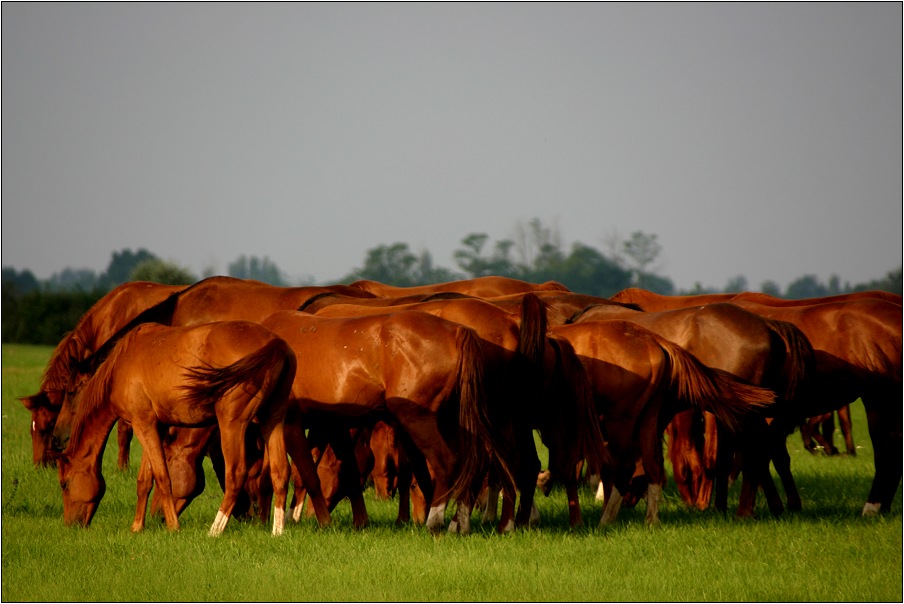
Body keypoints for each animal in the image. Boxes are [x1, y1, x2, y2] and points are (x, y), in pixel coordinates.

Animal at [20, 282, 185, 468]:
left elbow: (123, 431)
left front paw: (123, 468)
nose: (40, 467)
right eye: (31, 430)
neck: (109, 318)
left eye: (44, 429)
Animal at [50, 324, 300, 536]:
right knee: (280, 471)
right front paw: (137, 526)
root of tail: (275, 342)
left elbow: (162, 477)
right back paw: (277, 531)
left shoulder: (143, 425)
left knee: (236, 475)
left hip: (232, 424)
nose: (71, 525)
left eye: (64, 484)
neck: (121, 364)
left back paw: (215, 530)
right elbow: (144, 480)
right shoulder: (153, 427)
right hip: (272, 420)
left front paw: (173, 526)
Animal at [260, 312, 516, 532]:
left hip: (419, 420)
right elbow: (338, 471)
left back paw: (435, 521)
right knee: (474, 464)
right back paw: (459, 522)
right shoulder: (329, 425)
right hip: (453, 422)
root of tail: (457, 331)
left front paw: (318, 521)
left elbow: (307, 474)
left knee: (447, 462)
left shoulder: (292, 425)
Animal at [552, 318, 776, 528]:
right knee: (652, 465)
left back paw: (606, 520)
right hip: (647, 420)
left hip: (621, 421)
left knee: (622, 469)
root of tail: (654, 340)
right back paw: (650, 519)